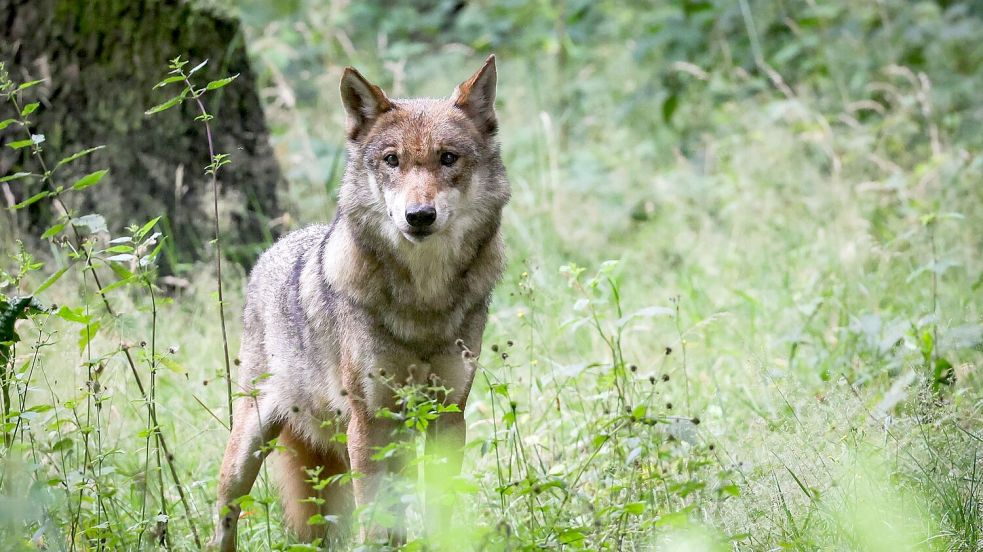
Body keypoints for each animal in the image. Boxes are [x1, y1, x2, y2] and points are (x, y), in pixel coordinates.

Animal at [210, 57, 512, 552]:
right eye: (392, 160)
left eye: (448, 158)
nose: (419, 216)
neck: (422, 302)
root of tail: (273, 250)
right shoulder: (369, 423)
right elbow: (377, 523)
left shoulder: (448, 415)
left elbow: (440, 512)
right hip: (249, 448)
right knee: (225, 517)